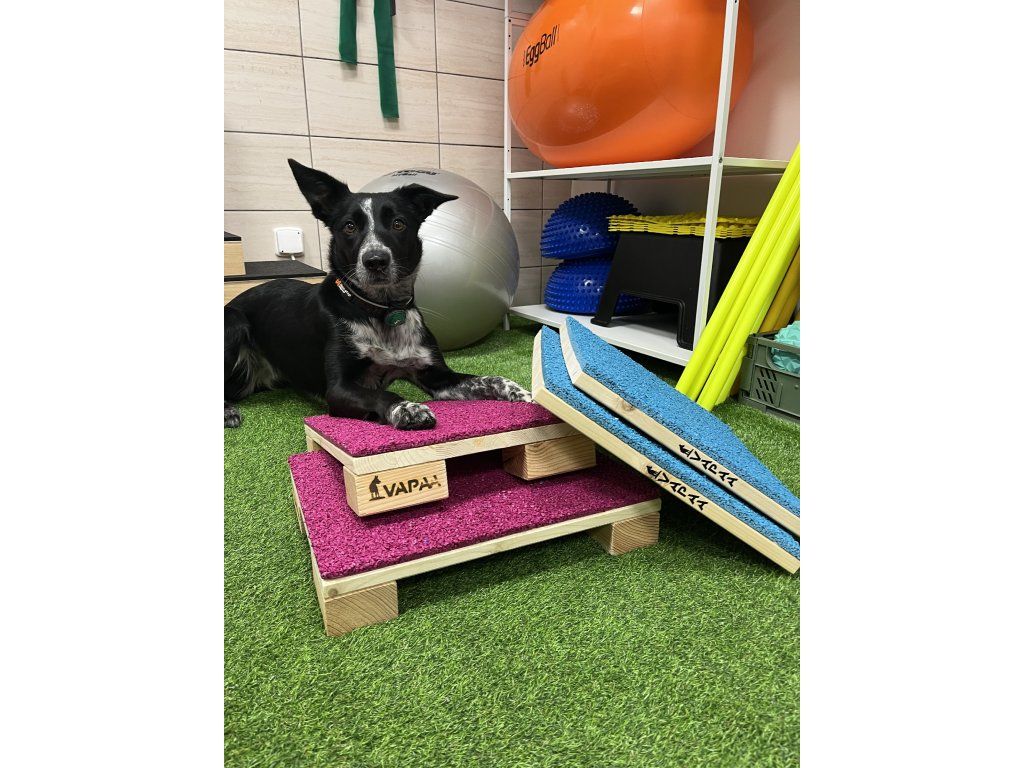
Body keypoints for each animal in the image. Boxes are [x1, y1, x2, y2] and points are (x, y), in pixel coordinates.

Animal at [224, 159, 530, 429]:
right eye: (349, 226)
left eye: (398, 223)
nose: (375, 261)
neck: (382, 310)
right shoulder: (339, 388)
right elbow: (381, 393)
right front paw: (408, 408)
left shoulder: (437, 376)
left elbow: (490, 378)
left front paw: (519, 390)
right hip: (235, 322)